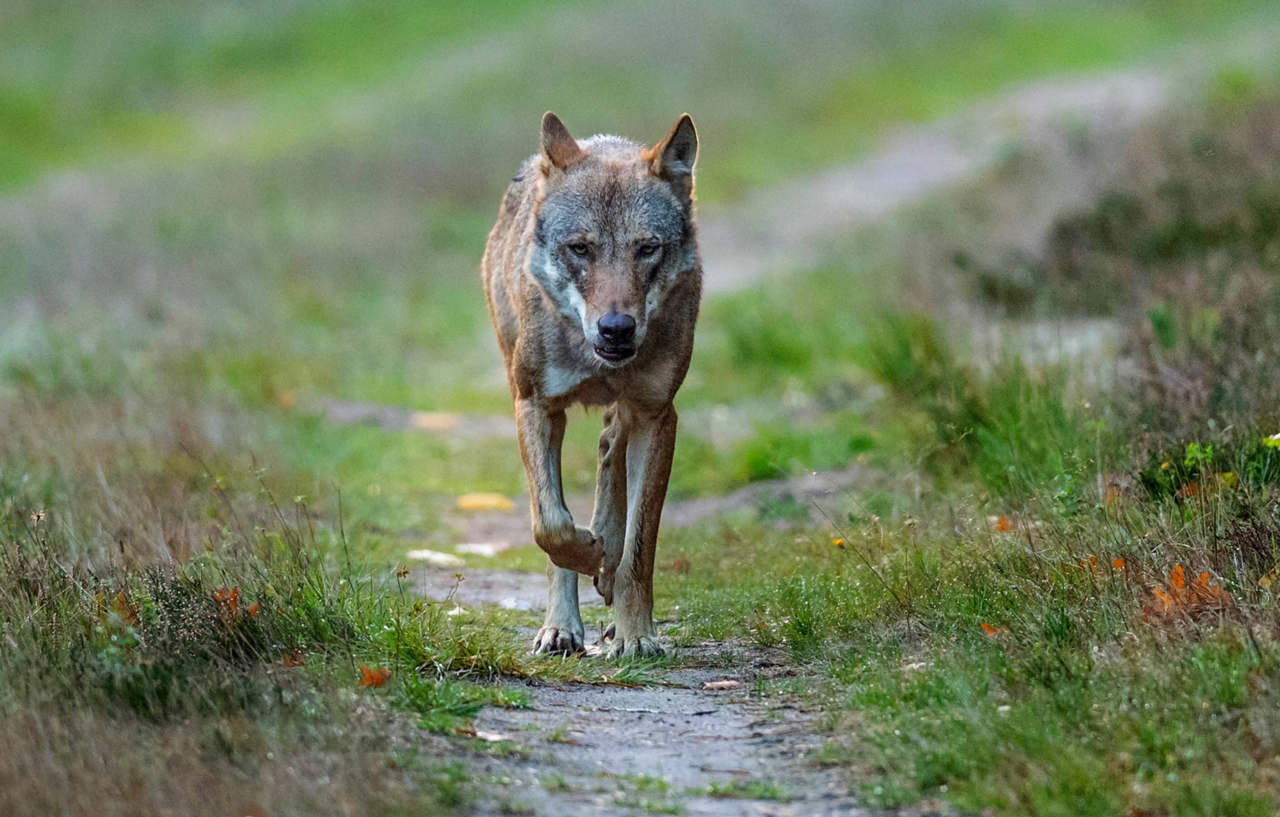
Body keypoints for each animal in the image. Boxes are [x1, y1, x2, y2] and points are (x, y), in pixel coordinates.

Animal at [481, 112, 701, 658]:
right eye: (580, 249)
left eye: (647, 248)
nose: (617, 329)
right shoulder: (534, 405)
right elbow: (551, 526)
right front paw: (587, 558)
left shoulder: (658, 415)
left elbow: (639, 550)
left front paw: (637, 635)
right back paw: (562, 624)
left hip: (634, 410)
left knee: (608, 448)